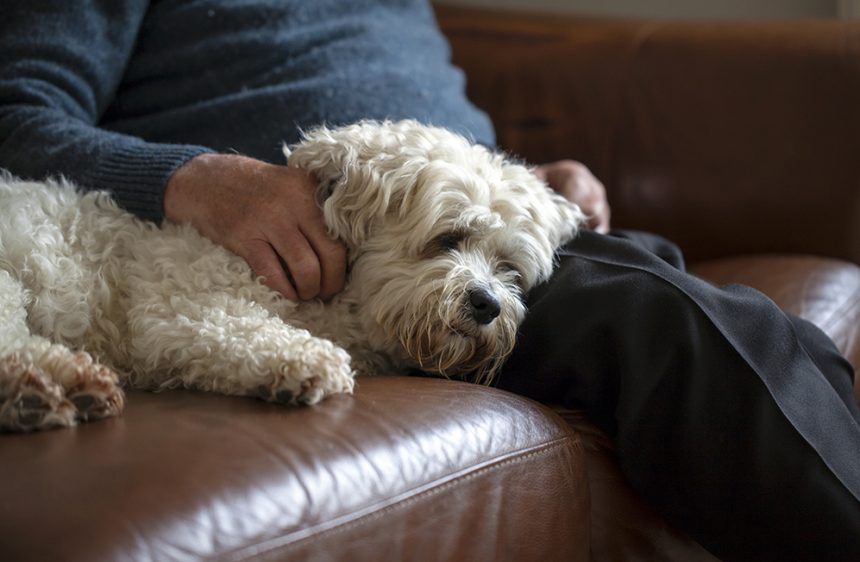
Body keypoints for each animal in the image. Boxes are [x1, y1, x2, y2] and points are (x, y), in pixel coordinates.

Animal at [0, 120, 584, 430]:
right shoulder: (185, 303)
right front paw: (305, 361)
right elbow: (238, 330)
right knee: (15, 346)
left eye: (509, 269)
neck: (342, 309)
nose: (488, 304)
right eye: (449, 239)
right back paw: (53, 384)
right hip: (8, 287)